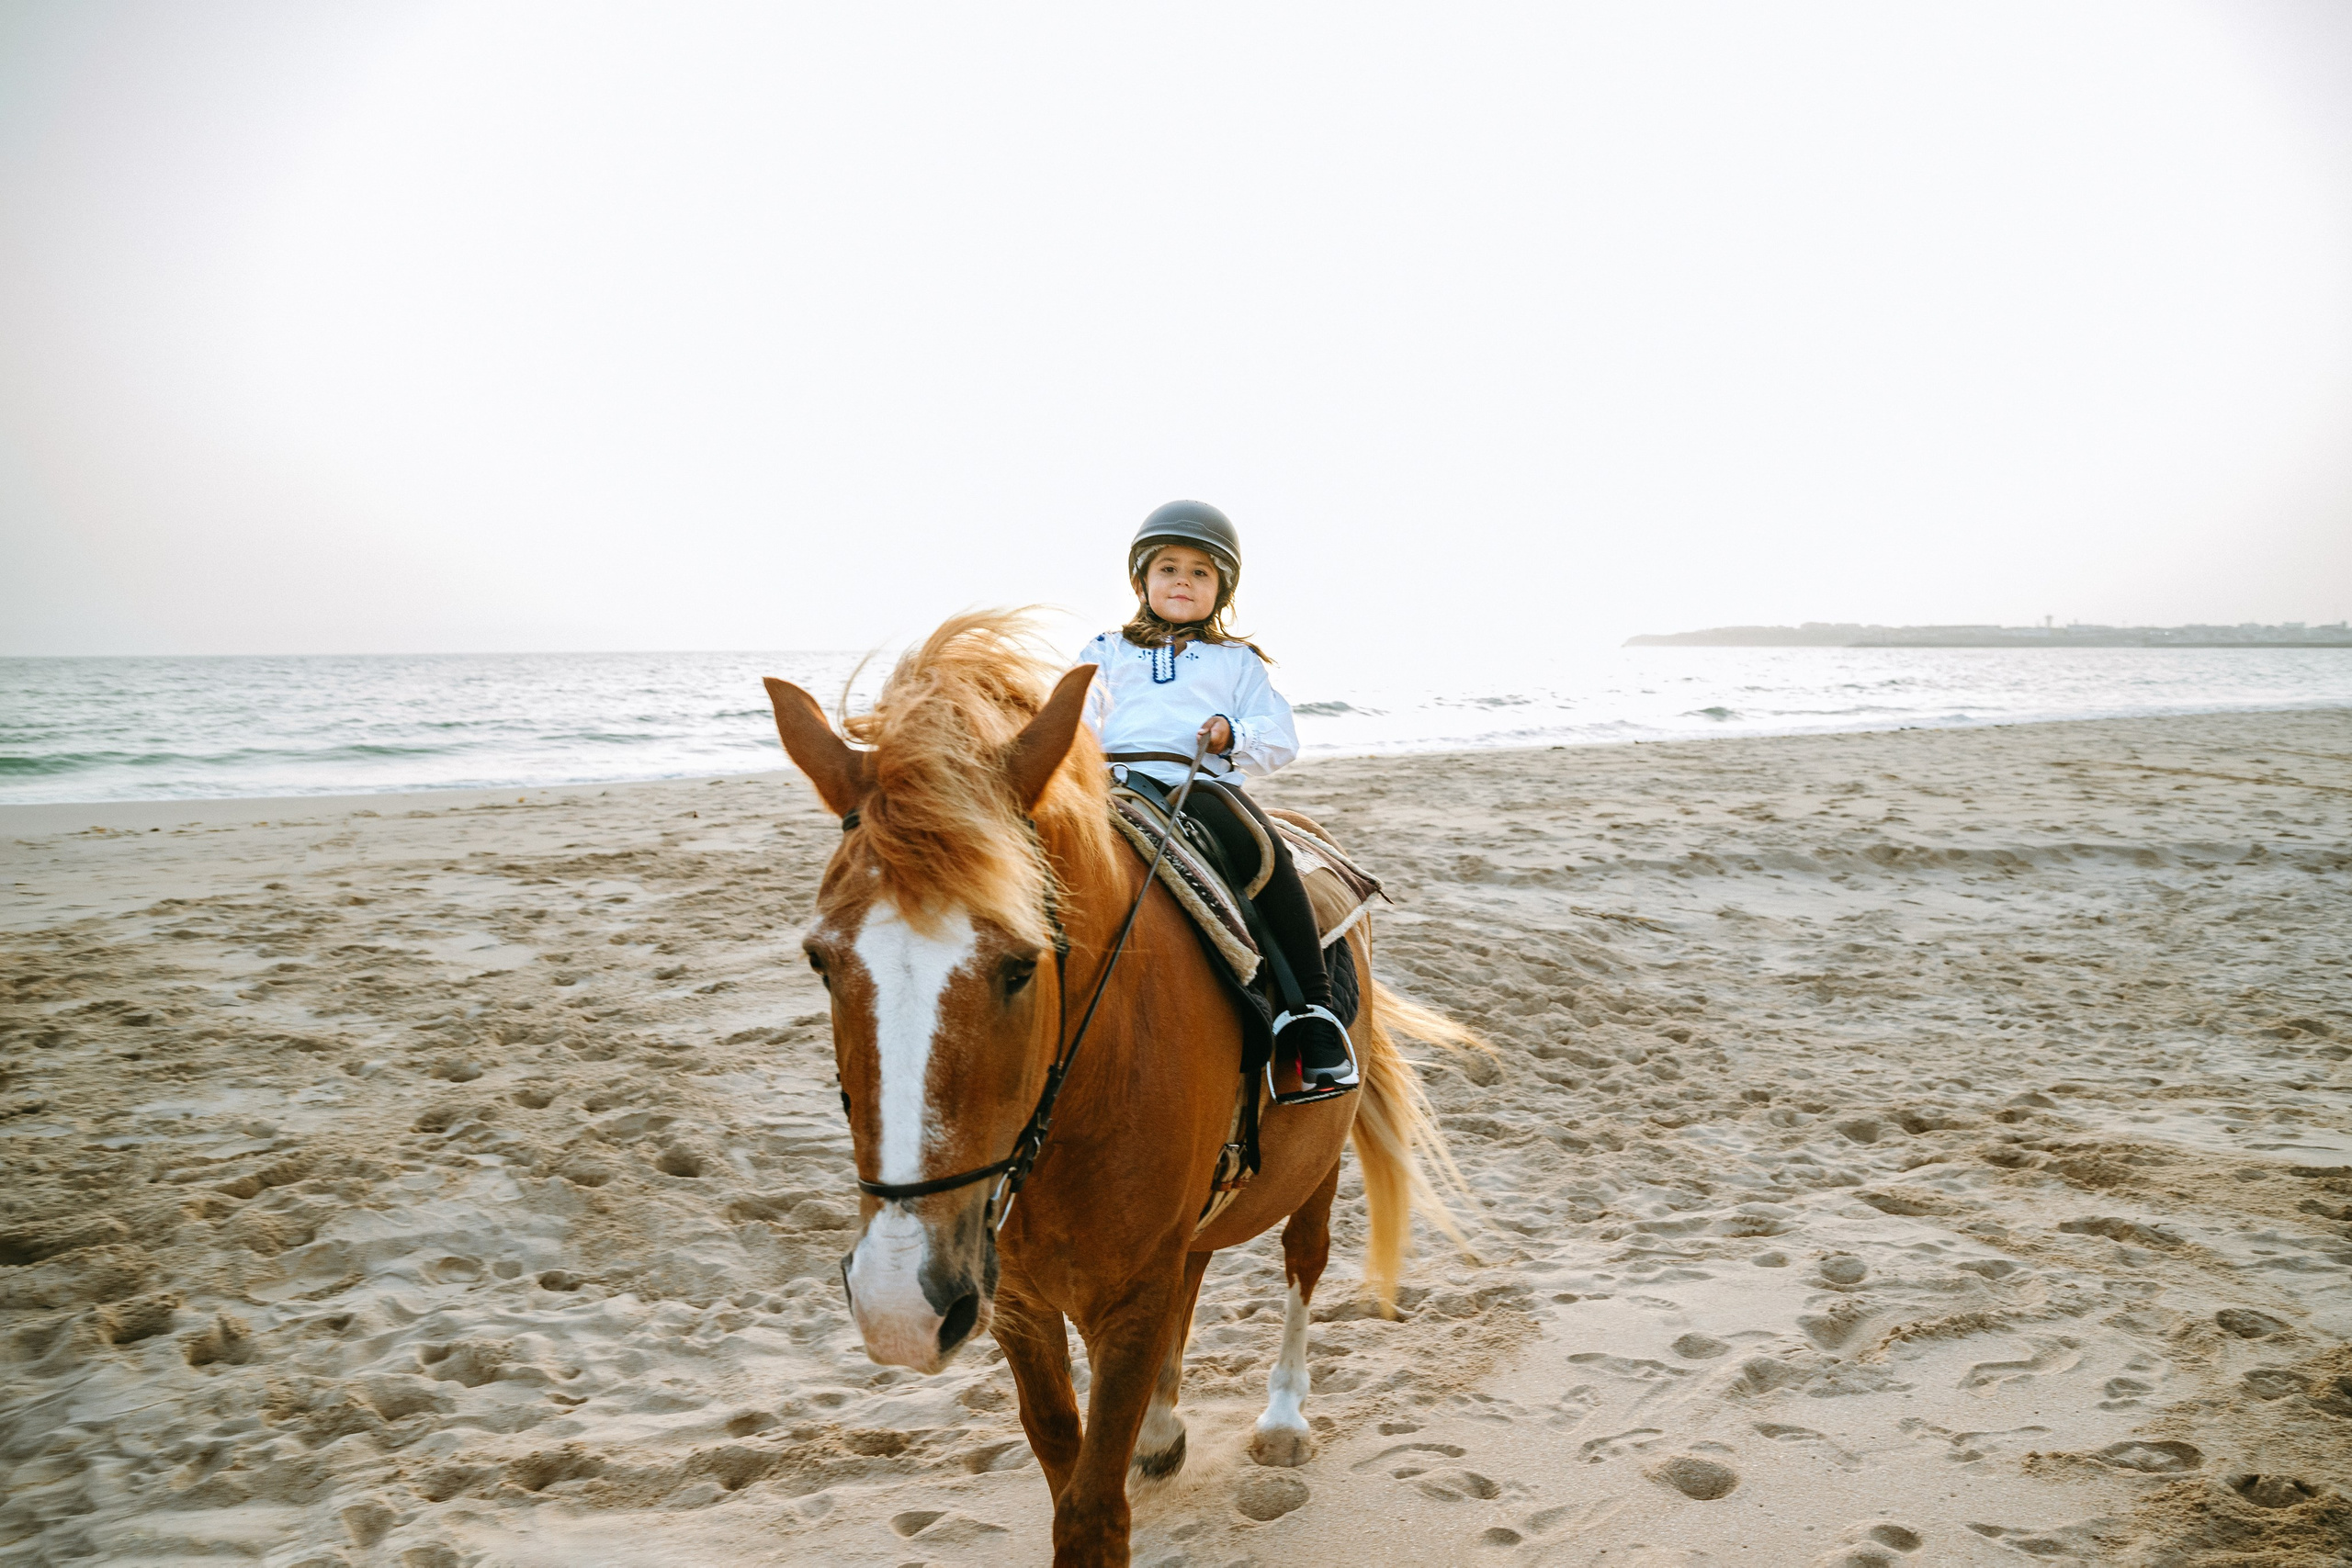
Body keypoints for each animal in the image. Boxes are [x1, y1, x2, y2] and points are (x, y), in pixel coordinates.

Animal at [763, 612, 1472, 1567]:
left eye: (1021, 964)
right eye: (821, 959)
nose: (898, 1301)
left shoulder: (1128, 1294)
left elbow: (1093, 1510)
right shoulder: (1018, 1300)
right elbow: (1065, 1460)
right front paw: (1143, 1432)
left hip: (1316, 1168)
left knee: (1303, 1261)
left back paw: (1283, 1415)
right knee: (1199, 1269)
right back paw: (1164, 1426)